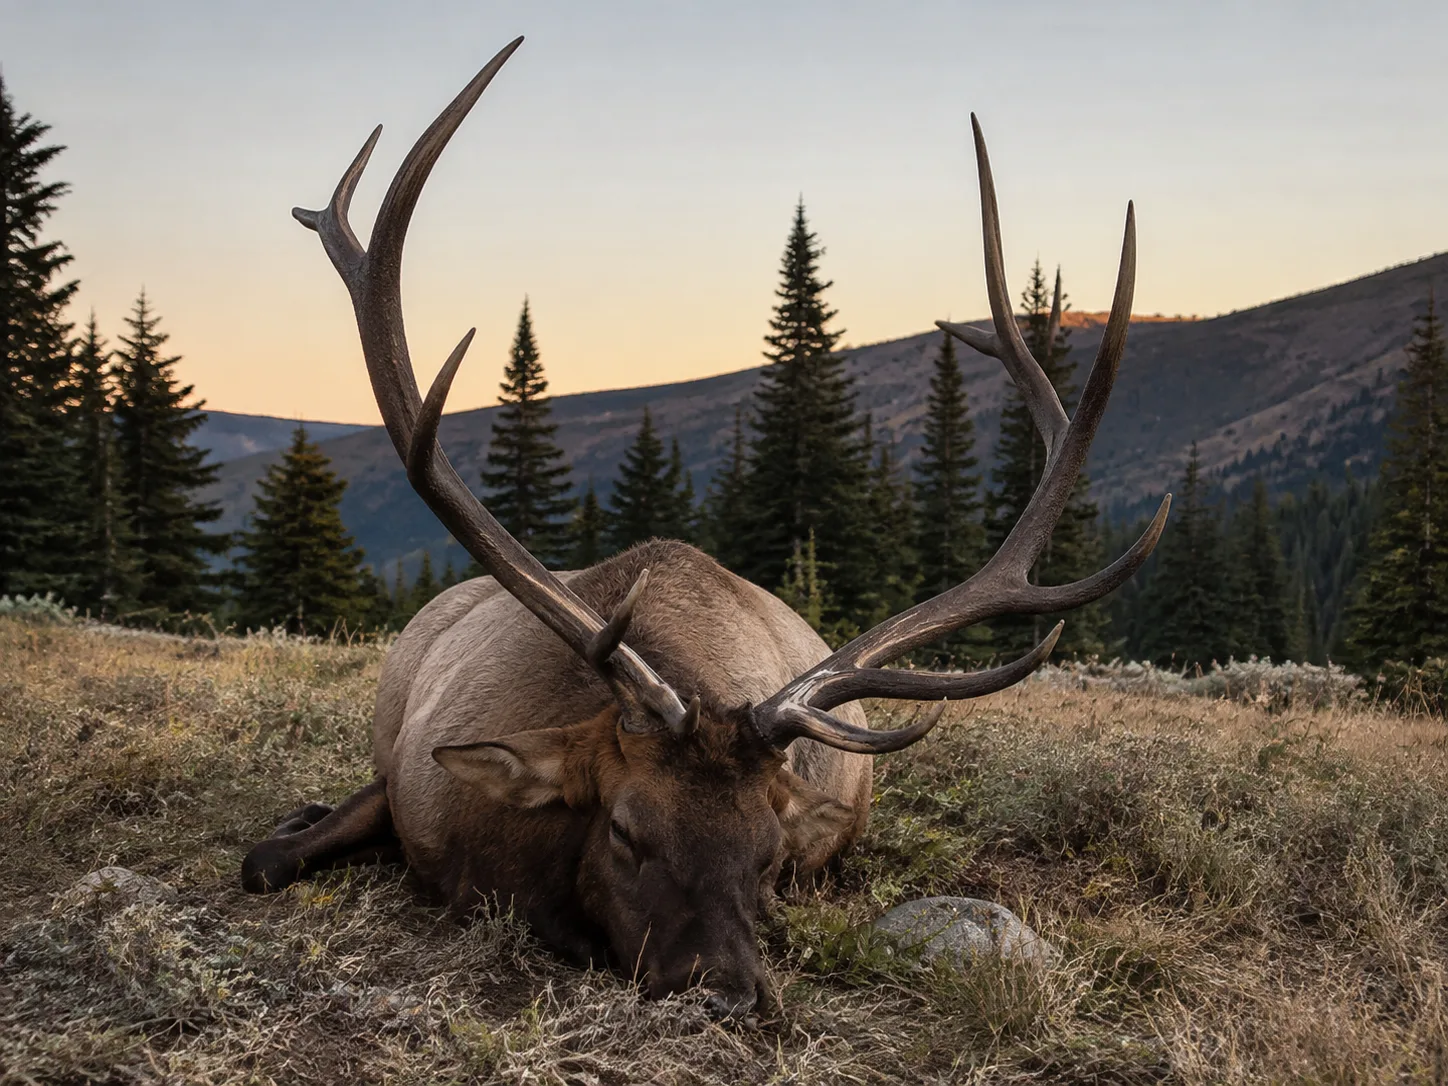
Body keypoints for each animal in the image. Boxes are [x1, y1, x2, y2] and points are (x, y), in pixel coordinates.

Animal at [241, 37, 1169, 1022]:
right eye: (625, 830)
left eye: (768, 855)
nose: (725, 991)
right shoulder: (404, 782)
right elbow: (264, 859)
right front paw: (298, 823)